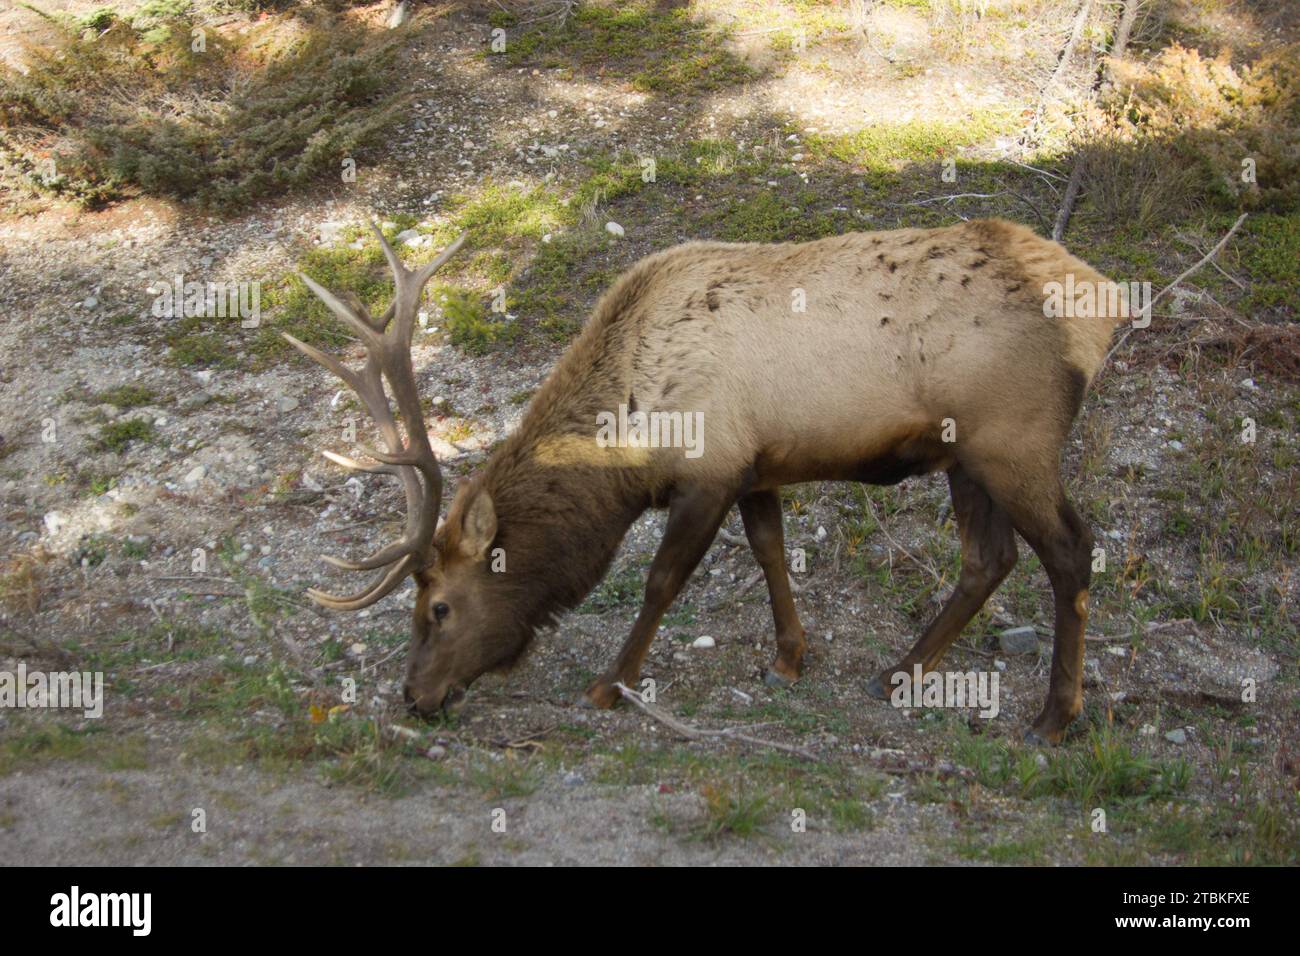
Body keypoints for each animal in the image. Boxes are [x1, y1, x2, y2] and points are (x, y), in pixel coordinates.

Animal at [284, 218, 1118, 749]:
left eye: (439, 607)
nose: (415, 695)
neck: (634, 436)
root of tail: (1104, 305)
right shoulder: (756, 467)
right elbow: (771, 551)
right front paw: (790, 657)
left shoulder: (709, 471)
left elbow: (662, 580)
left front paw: (610, 683)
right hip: (968, 458)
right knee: (989, 559)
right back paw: (896, 674)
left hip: (1013, 440)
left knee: (1072, 551)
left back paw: (1054, 718)